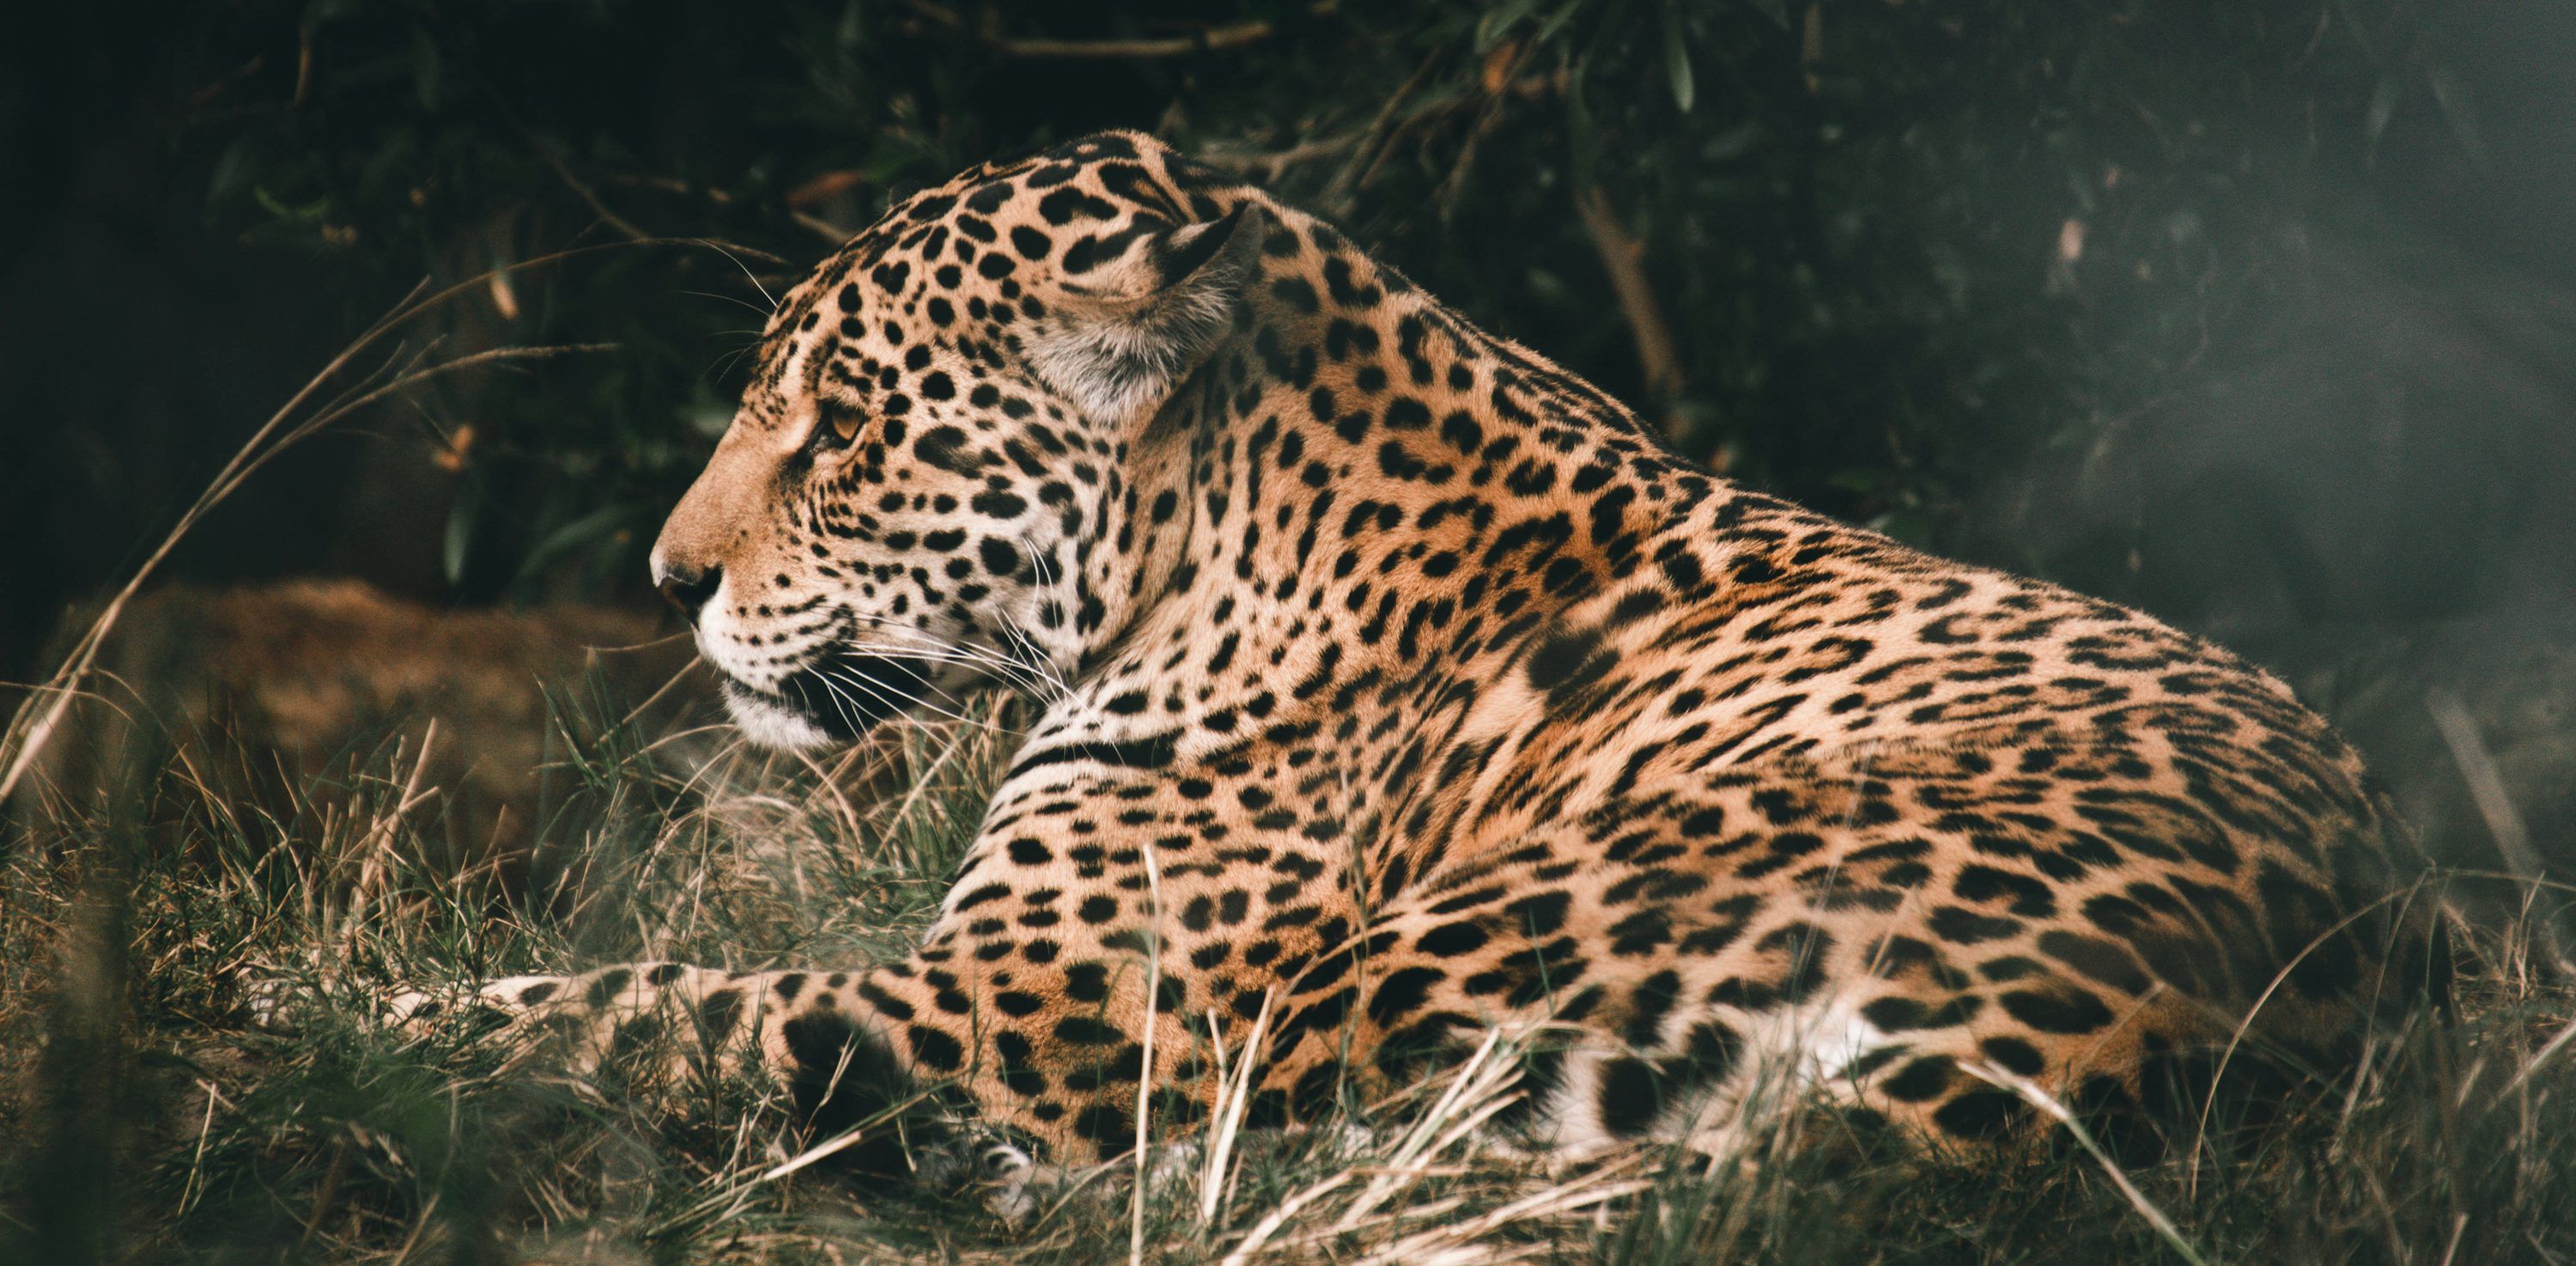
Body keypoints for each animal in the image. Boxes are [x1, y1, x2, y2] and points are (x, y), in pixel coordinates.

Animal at [429, 130, 2439, 1187]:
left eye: (841, 427)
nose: (668, 577)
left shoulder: (1046, 1001)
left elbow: (668, 991)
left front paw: (380, 1027)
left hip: (1452, 939)